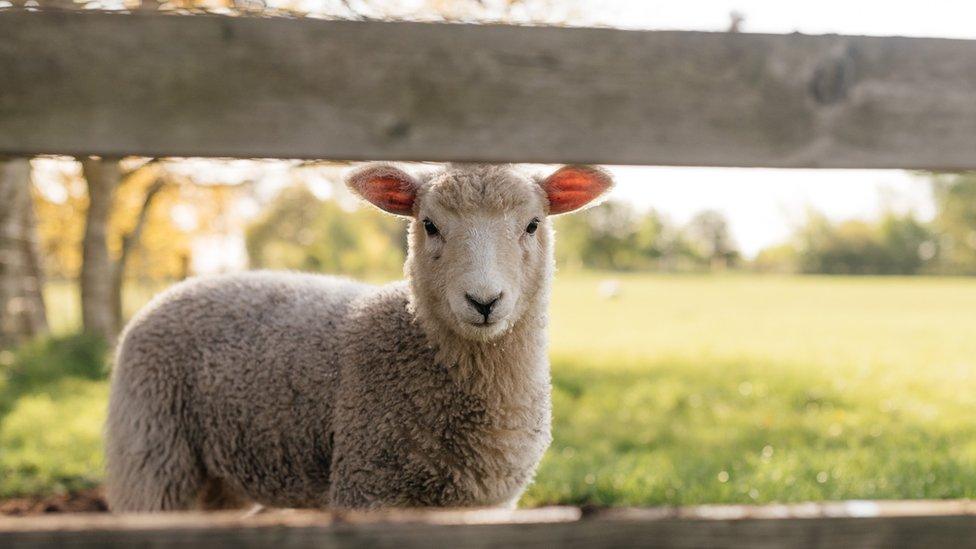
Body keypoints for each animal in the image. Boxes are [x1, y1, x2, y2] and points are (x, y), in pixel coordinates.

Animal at [105, 162, 608, 510]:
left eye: (533, 224)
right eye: (429, 224)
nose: (484, 301)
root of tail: (170, 293)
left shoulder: (486, 505)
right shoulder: (367, 484)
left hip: (220, 480)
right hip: (150, 454)